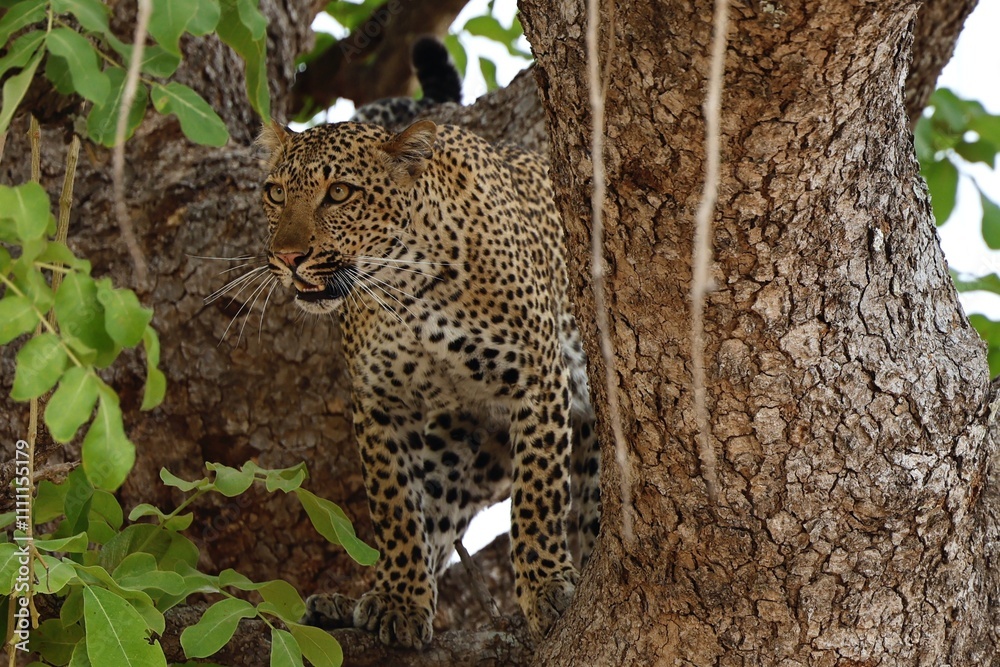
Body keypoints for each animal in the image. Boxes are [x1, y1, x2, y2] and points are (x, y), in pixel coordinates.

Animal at [255, 116, 601, 648]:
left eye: (339, 193)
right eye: (275, 193)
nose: (288, 256)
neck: (407, 291)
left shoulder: (539, 377)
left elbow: (538, 496)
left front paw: (546, 586)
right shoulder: (380, 403)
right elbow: (396, 509)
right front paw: (400, 601)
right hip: (465, 442)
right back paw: (352, 603)